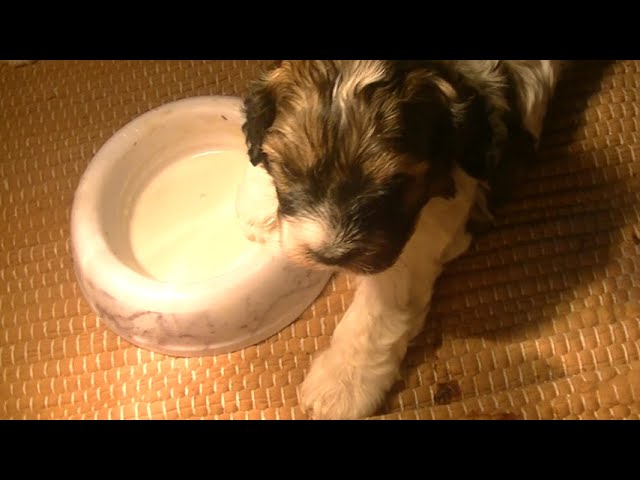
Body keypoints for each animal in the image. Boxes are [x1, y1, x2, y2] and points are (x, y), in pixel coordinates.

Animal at [238, 61, 564, 420]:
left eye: (395, 184)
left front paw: (342, 383)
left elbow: (379, 308)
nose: (332, 254)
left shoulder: (416, 234)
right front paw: (258, 202)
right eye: (289, 170)